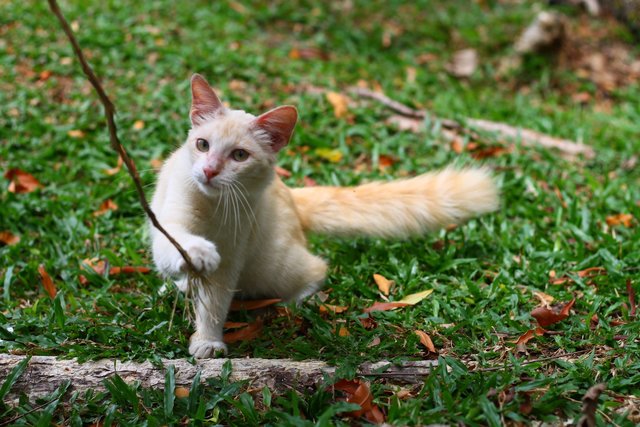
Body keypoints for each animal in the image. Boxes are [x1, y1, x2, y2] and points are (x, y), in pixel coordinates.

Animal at [151, 73, 500, 358]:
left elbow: (215, 303)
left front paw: (207, 341)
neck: (212, 205)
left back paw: (294, 302)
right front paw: (198, 255)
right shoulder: (170, 224)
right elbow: (177, 244)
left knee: (316, 269)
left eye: (239, 155)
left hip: (273, 267)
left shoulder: (232, 256)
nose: (209, 171)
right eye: (202, 144)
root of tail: (291, 197)